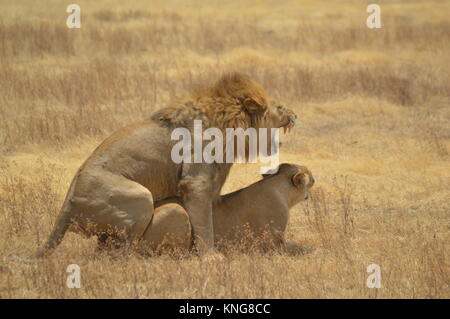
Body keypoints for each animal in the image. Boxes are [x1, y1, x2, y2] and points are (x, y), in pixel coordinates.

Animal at [34, 72, 296, 258]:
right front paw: (211, 257)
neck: (231, 127)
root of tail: (68, 203)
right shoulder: (196, 182)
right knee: (120, 252)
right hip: (140, 196)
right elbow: (204, 223)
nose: (295, 114)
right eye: (280, 108)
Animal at [142, 164, 314, 256]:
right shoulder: (272, 244)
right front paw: (314, 250)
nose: (315, 178)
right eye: (310, 177)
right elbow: (299, 247)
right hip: (175, 209)